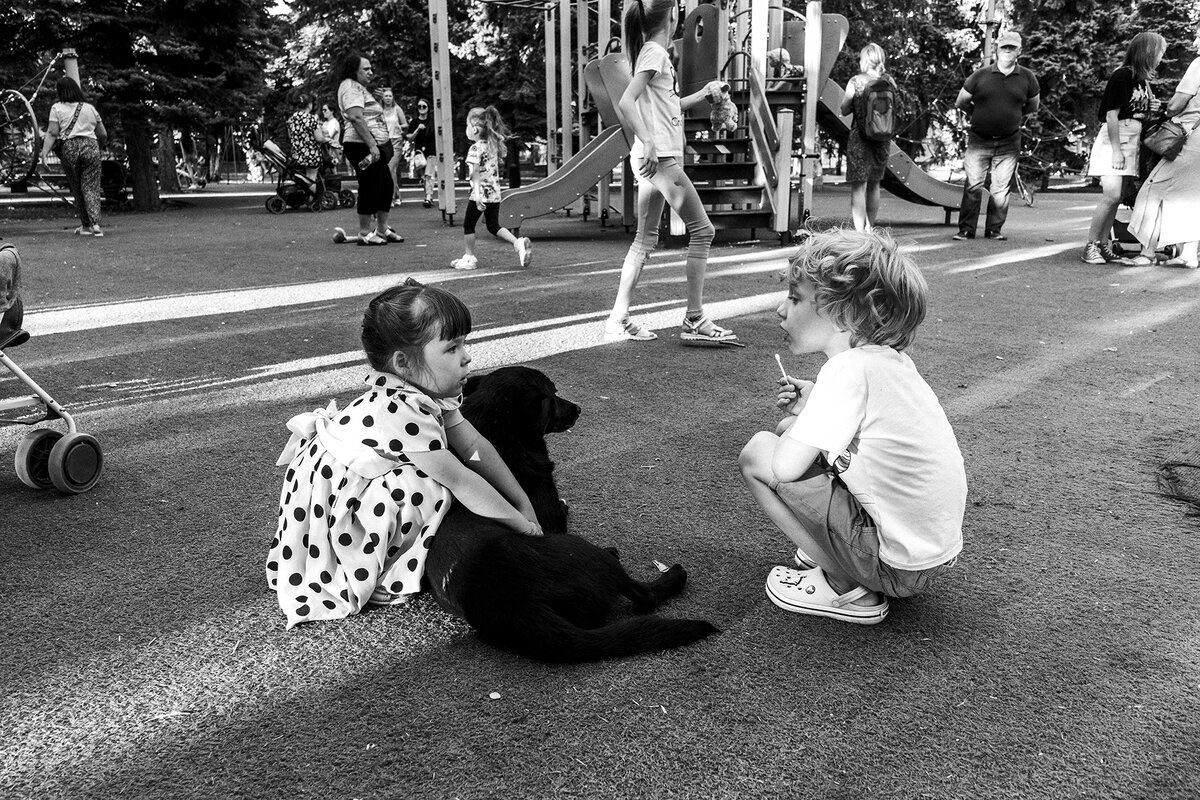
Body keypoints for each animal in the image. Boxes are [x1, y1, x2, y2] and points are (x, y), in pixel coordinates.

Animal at [424, 367, 715, 662]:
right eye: (552, 394)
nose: (578, 409)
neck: (498, 434)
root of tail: (522, 607)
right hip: (586, 552)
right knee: (644, 597)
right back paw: (671, 575)